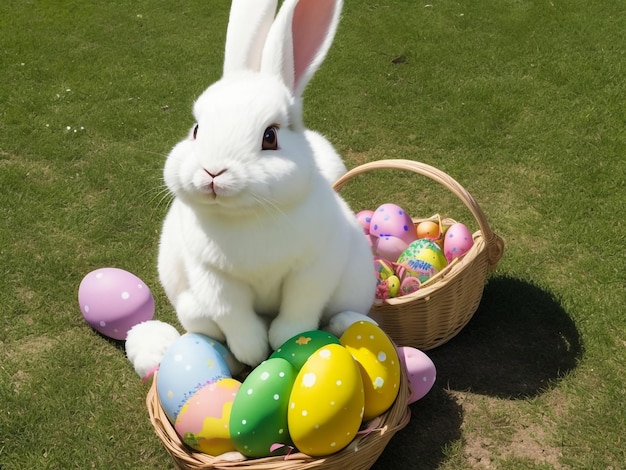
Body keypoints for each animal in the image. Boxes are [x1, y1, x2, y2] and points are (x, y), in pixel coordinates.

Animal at [124, 0, 372, 374]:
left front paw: (286, 340)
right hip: (192, 309)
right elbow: (233, 315)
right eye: (197, 129)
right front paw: (253, 354)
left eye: (270, 136)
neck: (247, 216)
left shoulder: (313, 267)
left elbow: (300, 306)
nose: (212, 172)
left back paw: (344, 324)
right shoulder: (214, 278)